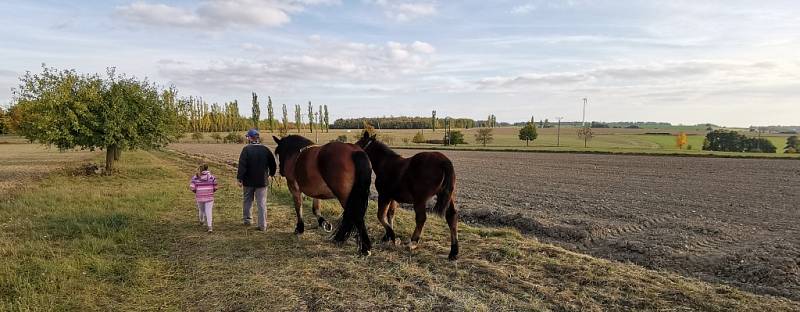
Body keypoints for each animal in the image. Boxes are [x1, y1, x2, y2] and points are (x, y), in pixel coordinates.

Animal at [354, 132, 460, 260]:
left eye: (359, 143)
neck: (386, 164)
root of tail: (444, 161)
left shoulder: (384, 195)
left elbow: (381, 215)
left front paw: (392, 235)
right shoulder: (393, 198)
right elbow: (390, 214)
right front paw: (387, 236)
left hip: (420, 199)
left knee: (421, 218)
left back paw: (413, 242)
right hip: (449, 196)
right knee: (451, 217)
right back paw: (453, 251)